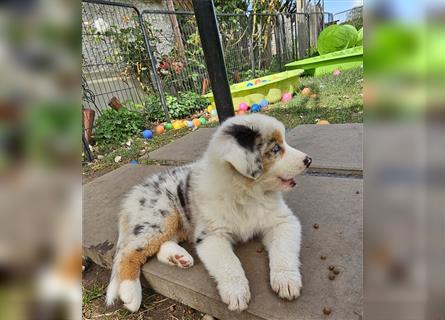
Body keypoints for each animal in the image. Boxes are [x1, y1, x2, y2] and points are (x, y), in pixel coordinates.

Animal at [106, 114, 310, 312]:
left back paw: (179, 258)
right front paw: (236, 293)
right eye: (276, 148)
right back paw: (130, 293)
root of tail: (134, 193)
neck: (248, 193)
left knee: (161, 245)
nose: (308, 160)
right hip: (160, 218)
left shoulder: (283, 221)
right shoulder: (211, 235)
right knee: (128, 253)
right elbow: (228, 263)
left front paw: (287, 282)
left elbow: (283, 251)